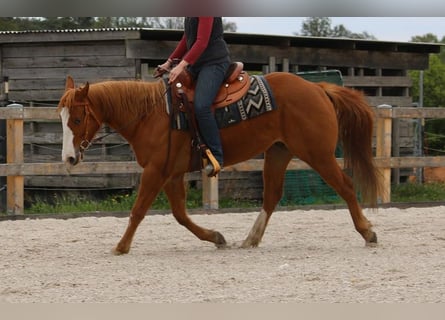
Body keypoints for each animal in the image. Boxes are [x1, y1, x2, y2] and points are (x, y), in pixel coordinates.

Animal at [56, 73, 382, 255]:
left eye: (77, 118)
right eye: (61, 117)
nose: (68, 158)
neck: (151, 114)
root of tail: (317, 87)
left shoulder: (156, 171)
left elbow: (138, 211)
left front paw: (120, 247)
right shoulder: (171, 174)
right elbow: (180, 215)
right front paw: (216, 237)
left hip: (318, 154)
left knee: (346, 186)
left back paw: (367, 233)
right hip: (278, 153)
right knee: (271, 196)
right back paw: (250, 239)